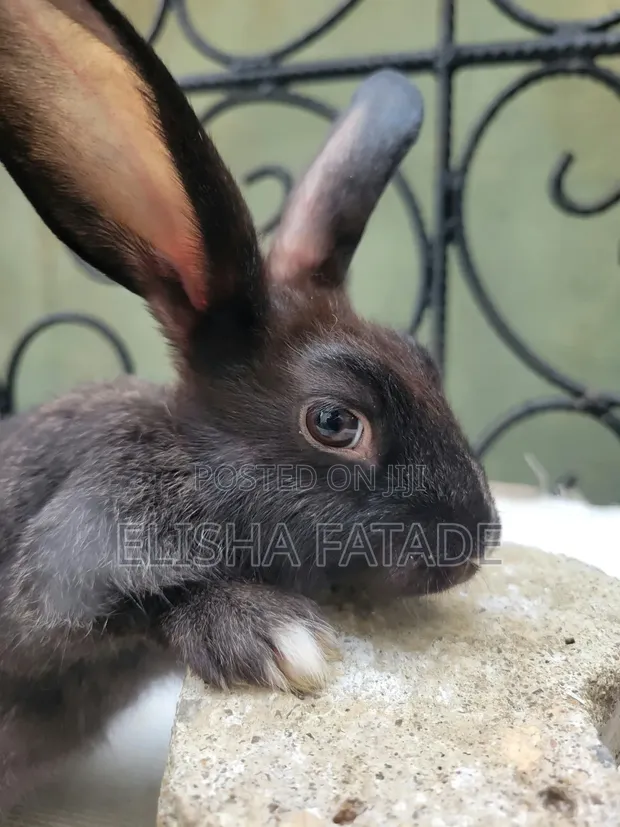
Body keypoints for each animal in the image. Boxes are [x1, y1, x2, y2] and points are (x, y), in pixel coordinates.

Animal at [0, 0, 500, 814]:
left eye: (422, 358)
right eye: (335, 422)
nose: (480, 541)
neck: (191, 461)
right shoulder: (65, 565)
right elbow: (136, 606)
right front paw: (278, 638)